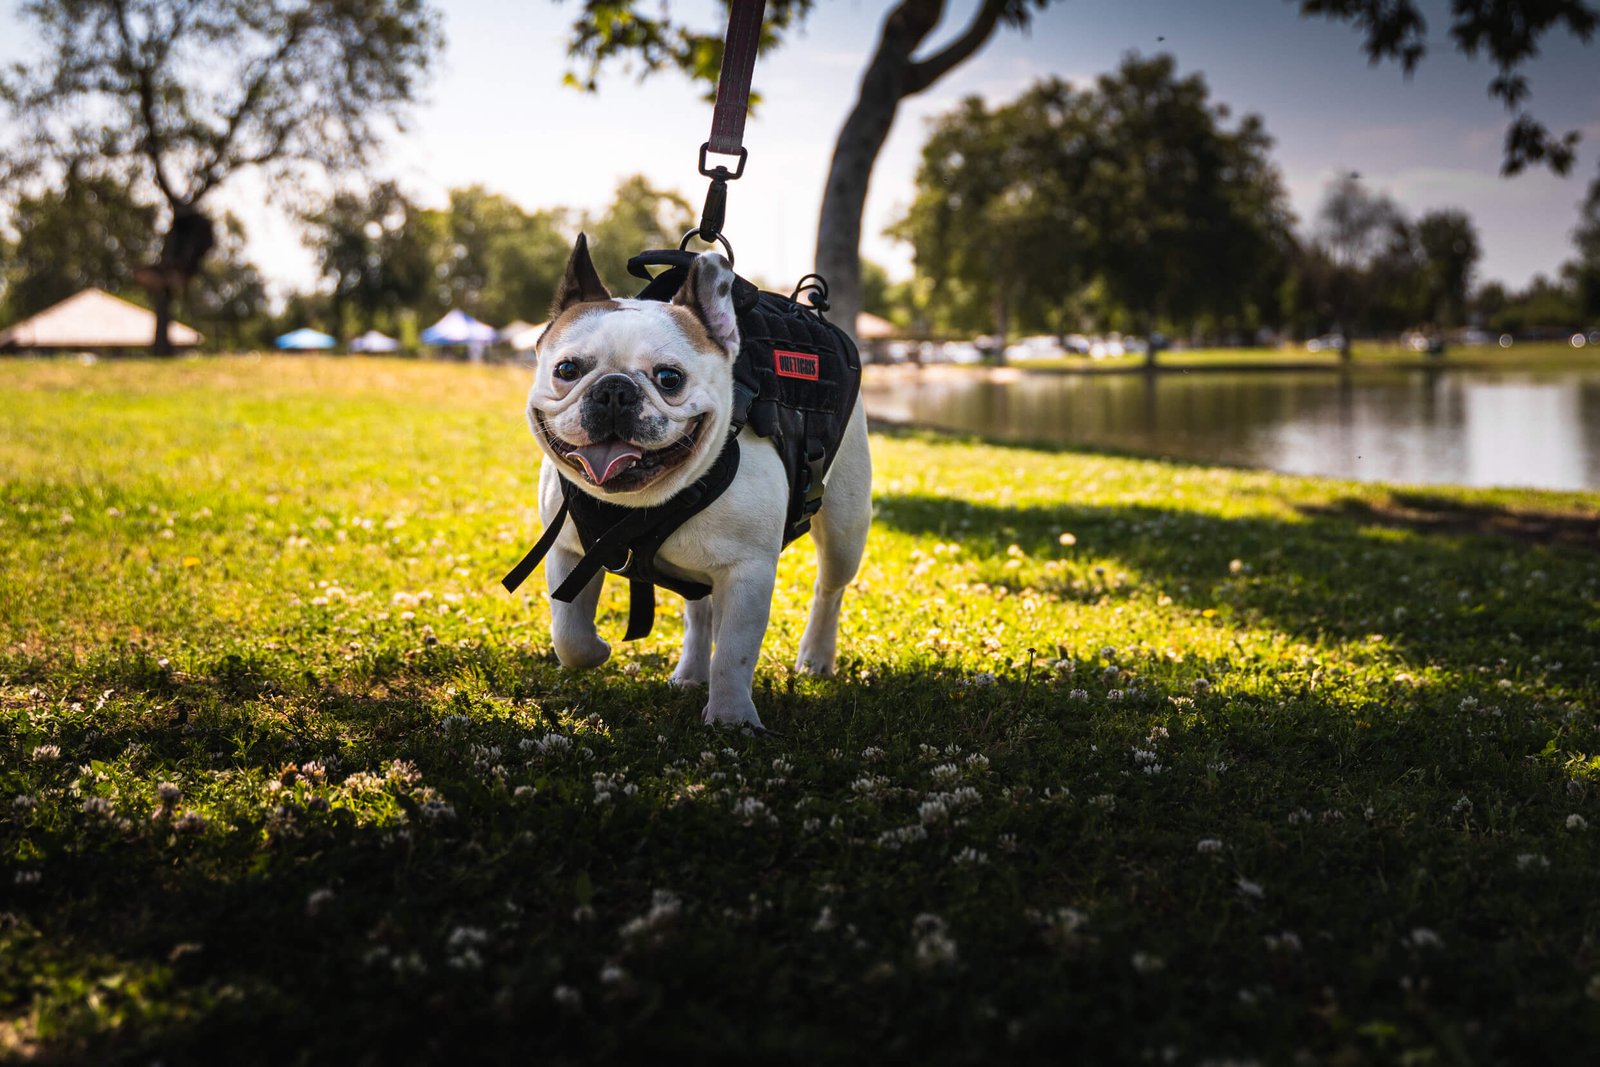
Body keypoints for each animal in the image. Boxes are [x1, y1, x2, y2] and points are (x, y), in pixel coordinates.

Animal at [528, 238, 870, 729]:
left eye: (669, 378)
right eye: (568, 370)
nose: (614, 389)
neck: (643, 504)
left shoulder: (747, 574)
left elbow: (733, 654)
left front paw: (731, 718)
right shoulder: (569, 550)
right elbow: (568, 633)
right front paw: (598, 649)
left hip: (845, 527)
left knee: (830, 588)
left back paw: (816, 657)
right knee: (699, 612)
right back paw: (690, 674)